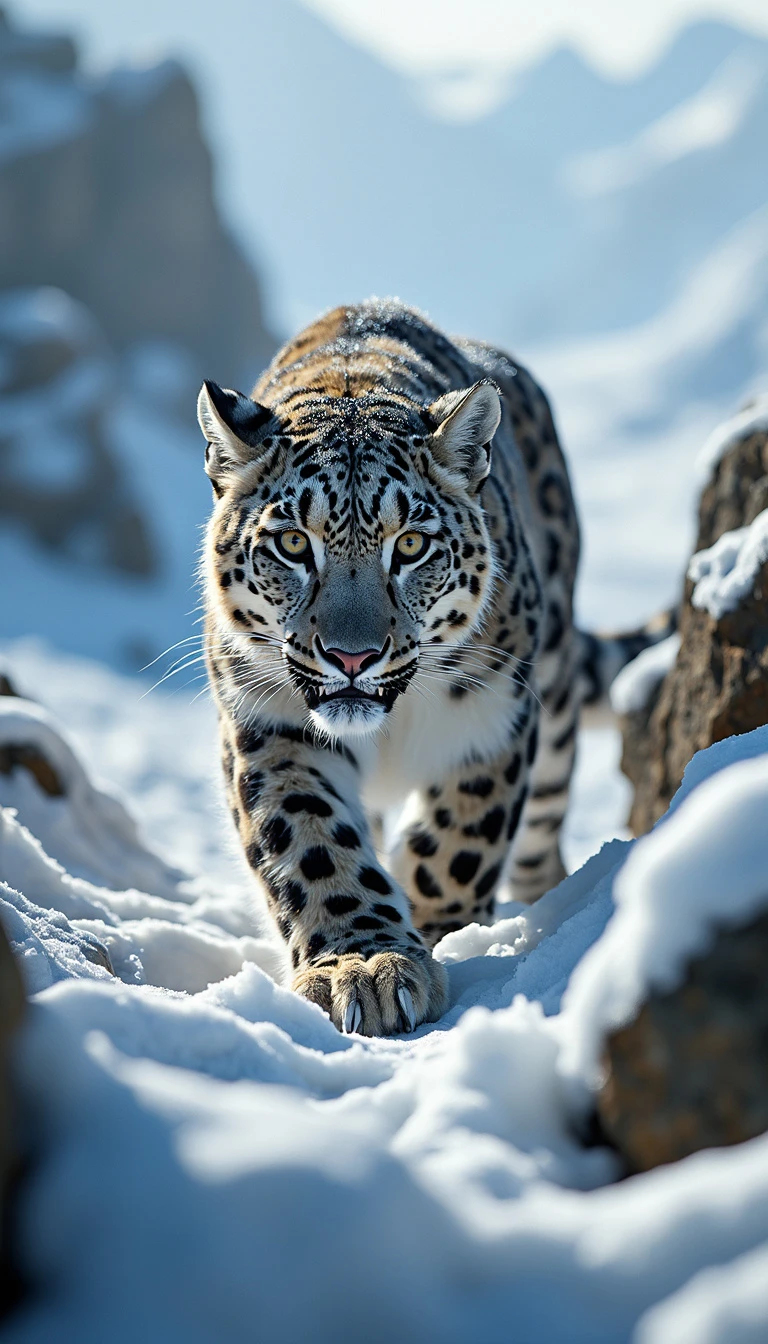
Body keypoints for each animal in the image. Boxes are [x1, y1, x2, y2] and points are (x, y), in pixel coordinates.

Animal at [196, 302, 637, 1037]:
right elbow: (310, 839)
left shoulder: (494, 711)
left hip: (553, 699)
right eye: (292, 543)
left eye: (409, 545)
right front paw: (363, 964)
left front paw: (432, 931)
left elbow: (461, 838)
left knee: (541, 829)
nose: (351, 656)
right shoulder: (270, 722)